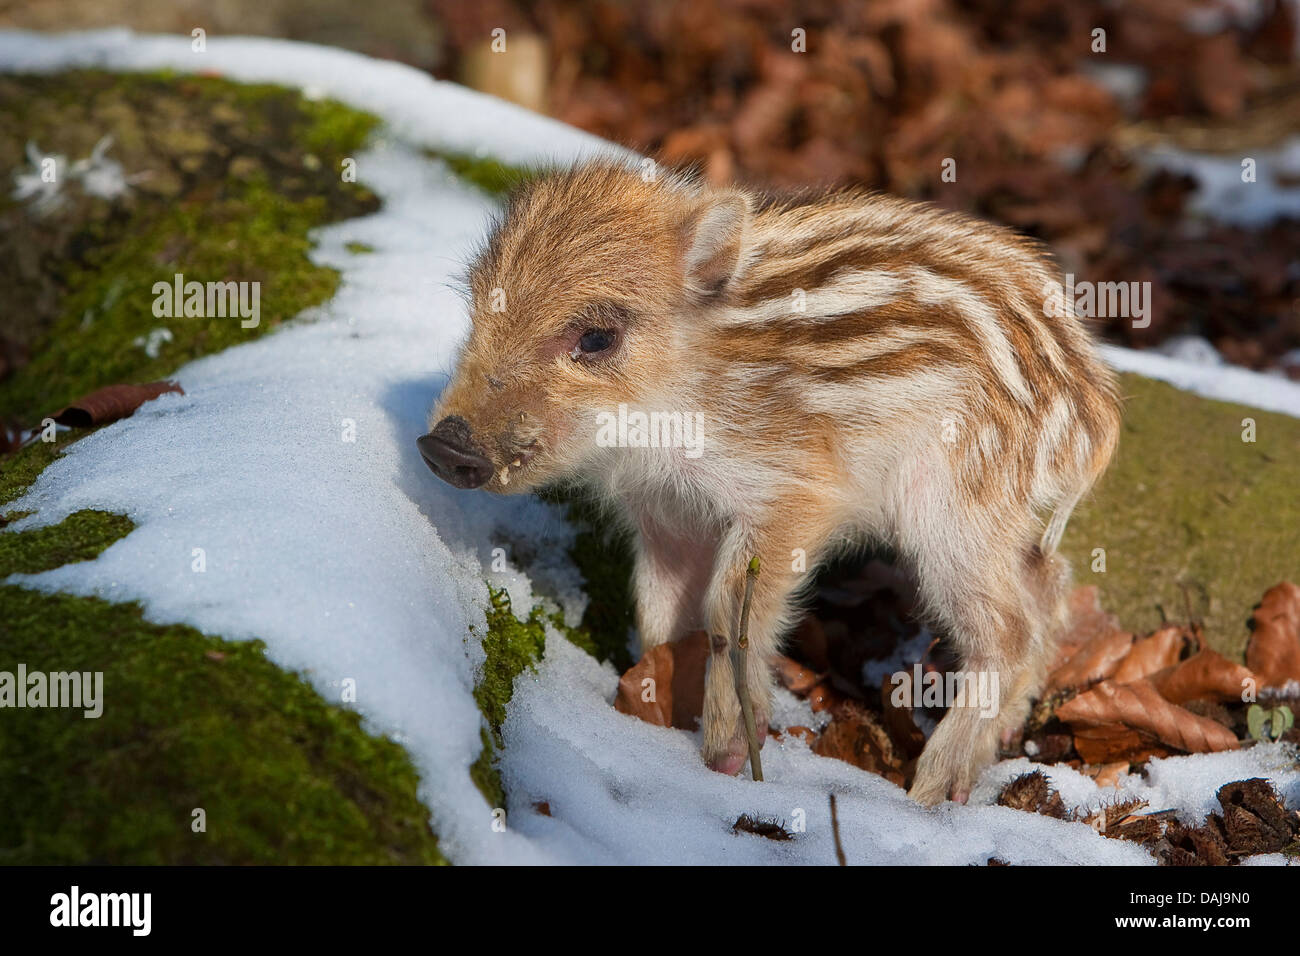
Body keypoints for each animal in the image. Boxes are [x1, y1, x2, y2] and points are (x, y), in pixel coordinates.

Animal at [419, 160, 1120, 804]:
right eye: (479, 307)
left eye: (596, 337)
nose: (441, 447)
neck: (679, 398)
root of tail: (1096, 409)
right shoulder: (667, 514)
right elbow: (660, 613)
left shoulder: (792, 494)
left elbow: (729, 607)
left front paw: (727, 757)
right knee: (1050, 592)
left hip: (956, 507)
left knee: (1009, 629)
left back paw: (932, 791)